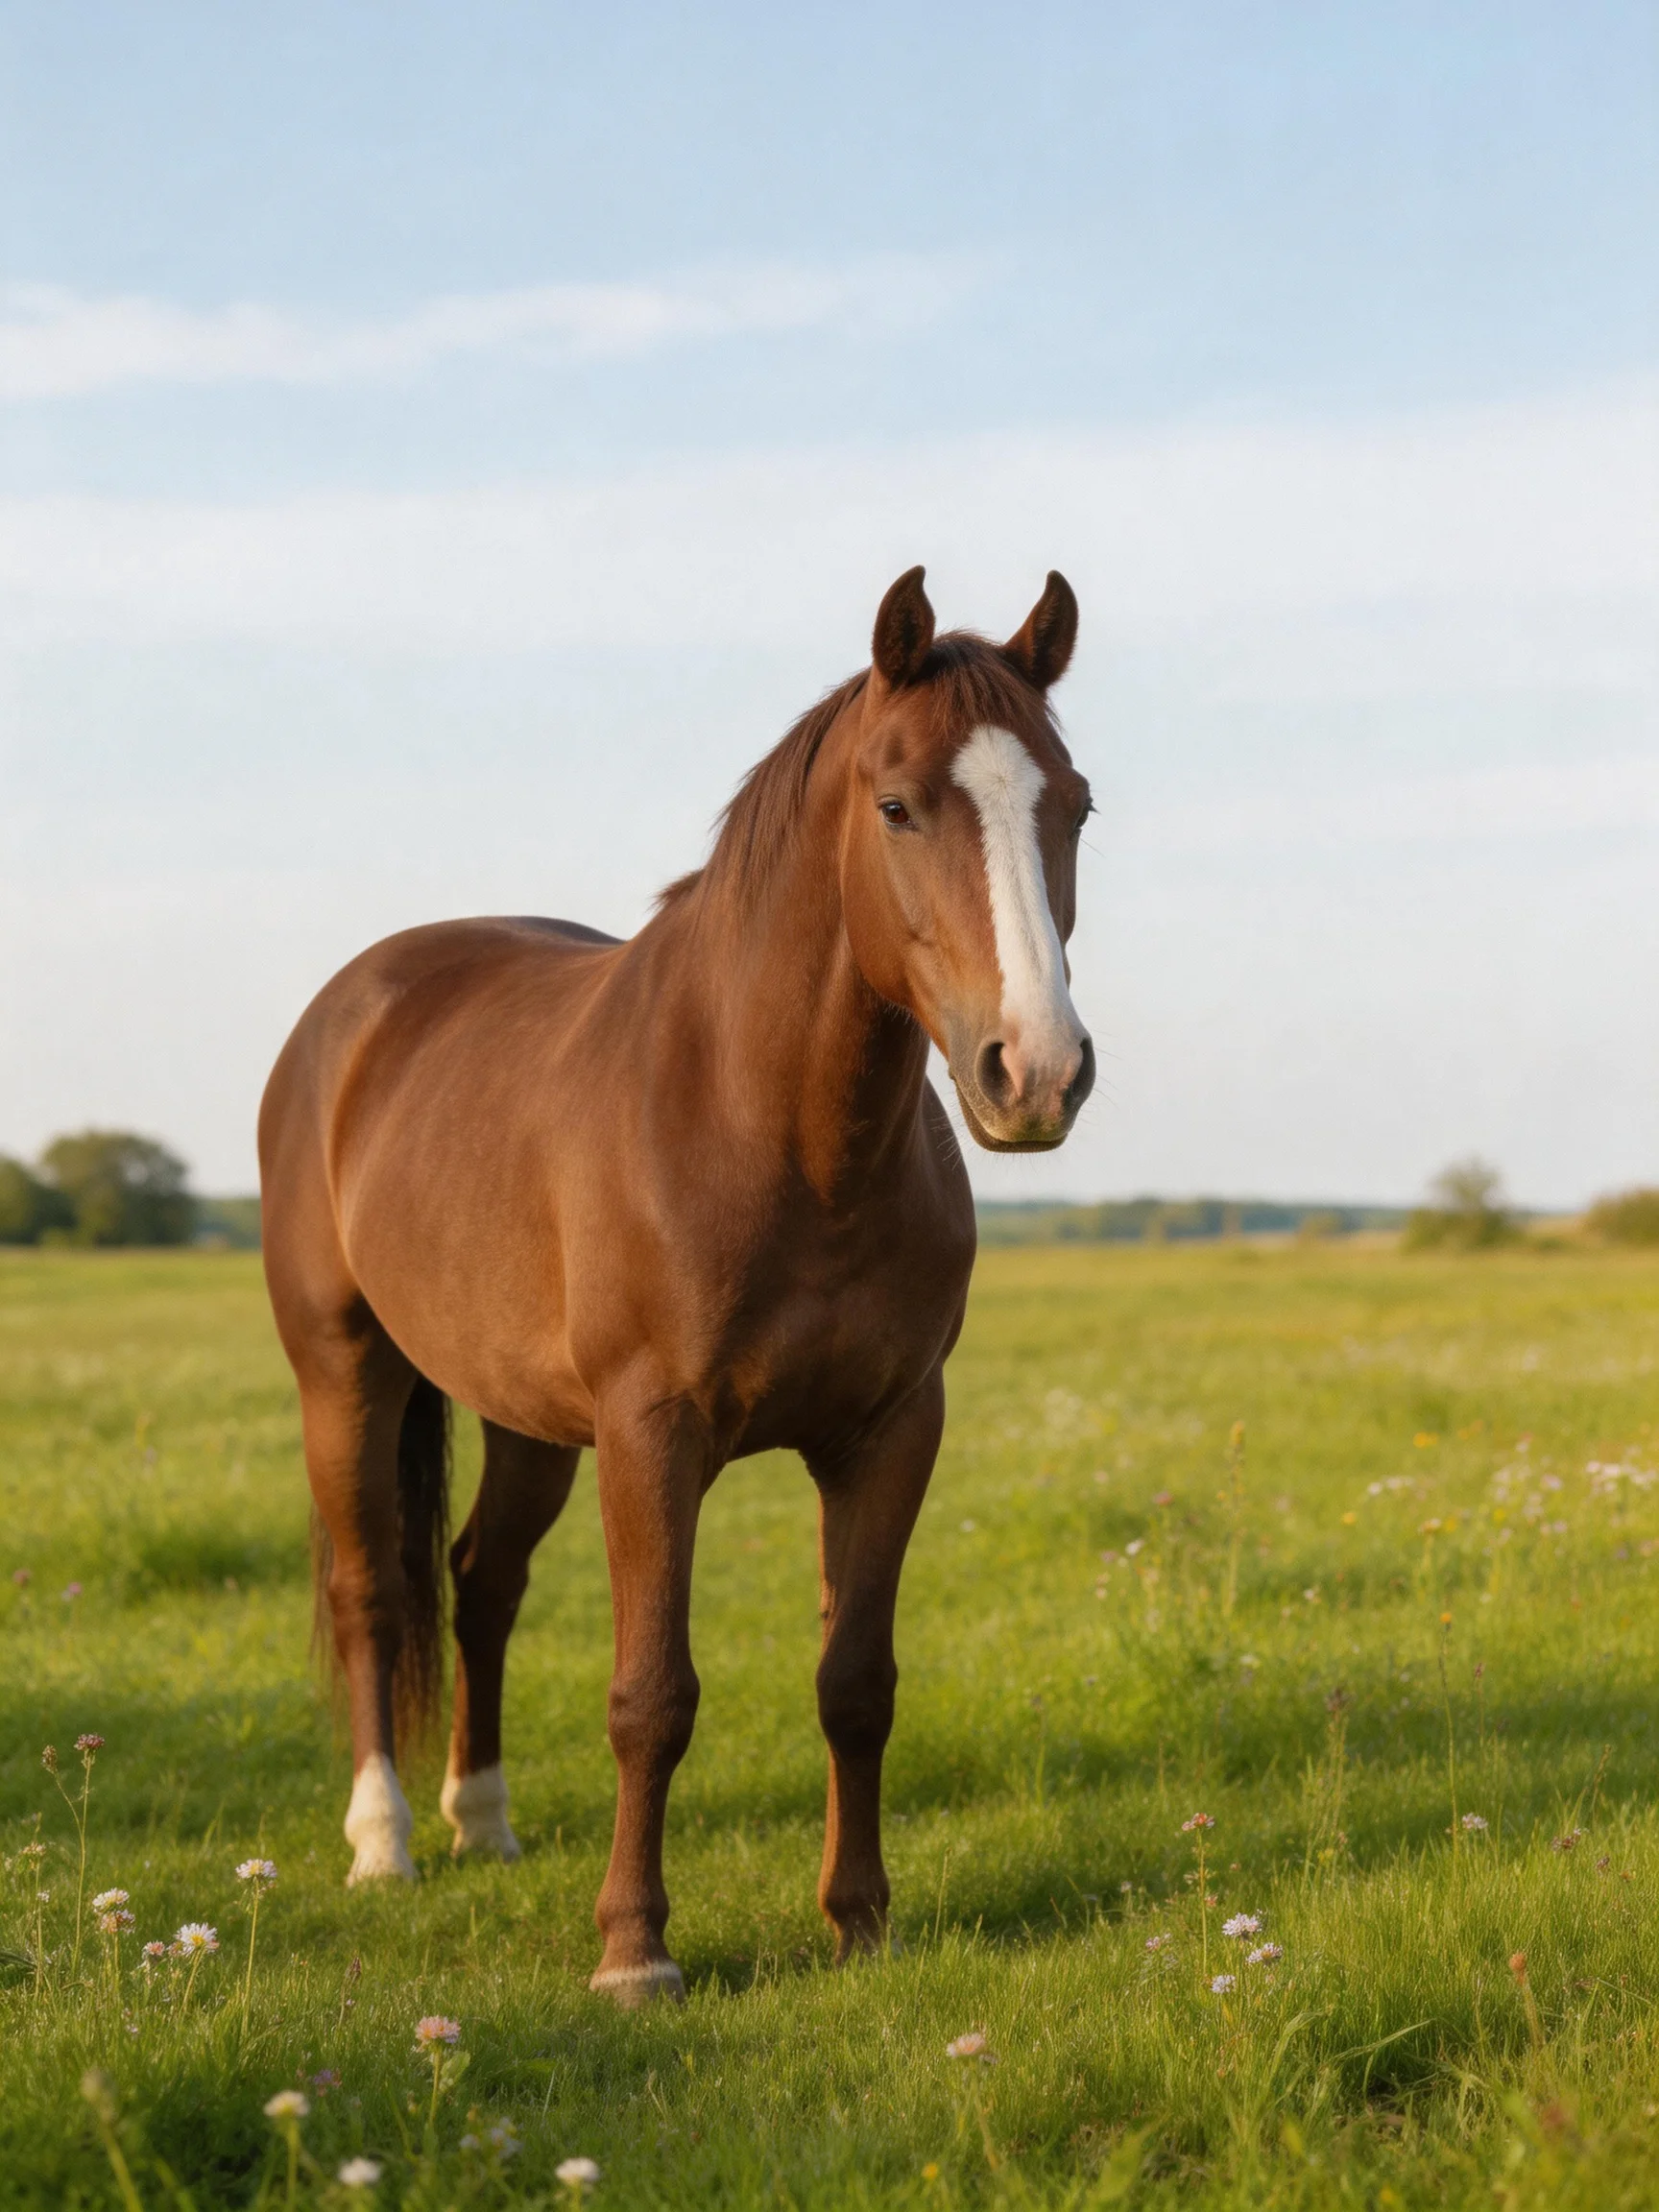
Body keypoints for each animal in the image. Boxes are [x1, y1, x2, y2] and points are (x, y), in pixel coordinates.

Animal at [258, 565, 1094, 2003]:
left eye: (1076, 805)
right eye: (896, 805)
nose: (1033, 1073)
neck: (771, 1126)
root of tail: (354, 1009)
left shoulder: (890, 1431)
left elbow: (855, 1682)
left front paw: (859, 1923)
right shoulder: (655, 1435)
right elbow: (652, 1696)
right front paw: (635, 1951)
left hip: (530, 1423)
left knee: (481, 1581)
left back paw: (486, 1822)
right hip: (346, 1377)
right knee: (375, 1589)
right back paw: (386, 1841)